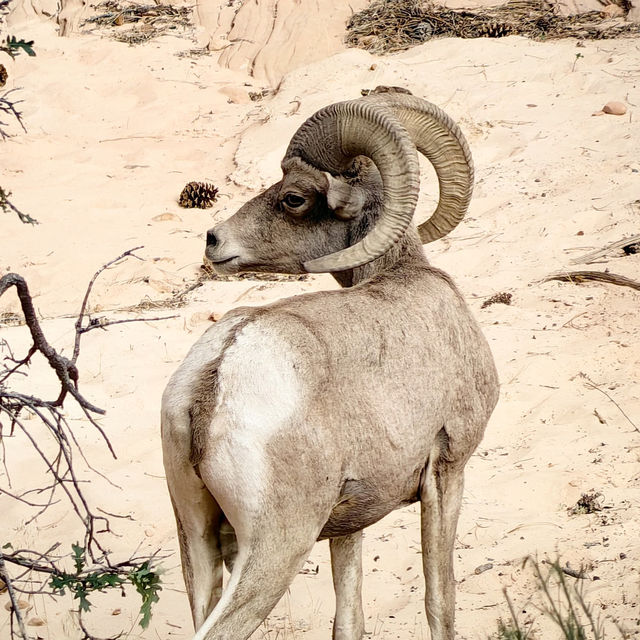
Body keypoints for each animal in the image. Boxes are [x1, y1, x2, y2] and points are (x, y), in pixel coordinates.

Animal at [161, 89, 500, 640]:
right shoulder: (447, 471)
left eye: (293, 198)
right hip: (277, 547)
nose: (213, 240)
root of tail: (214, 380)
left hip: (198, 541)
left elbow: (350, 619)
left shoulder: (351, 519)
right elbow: (440, 601)